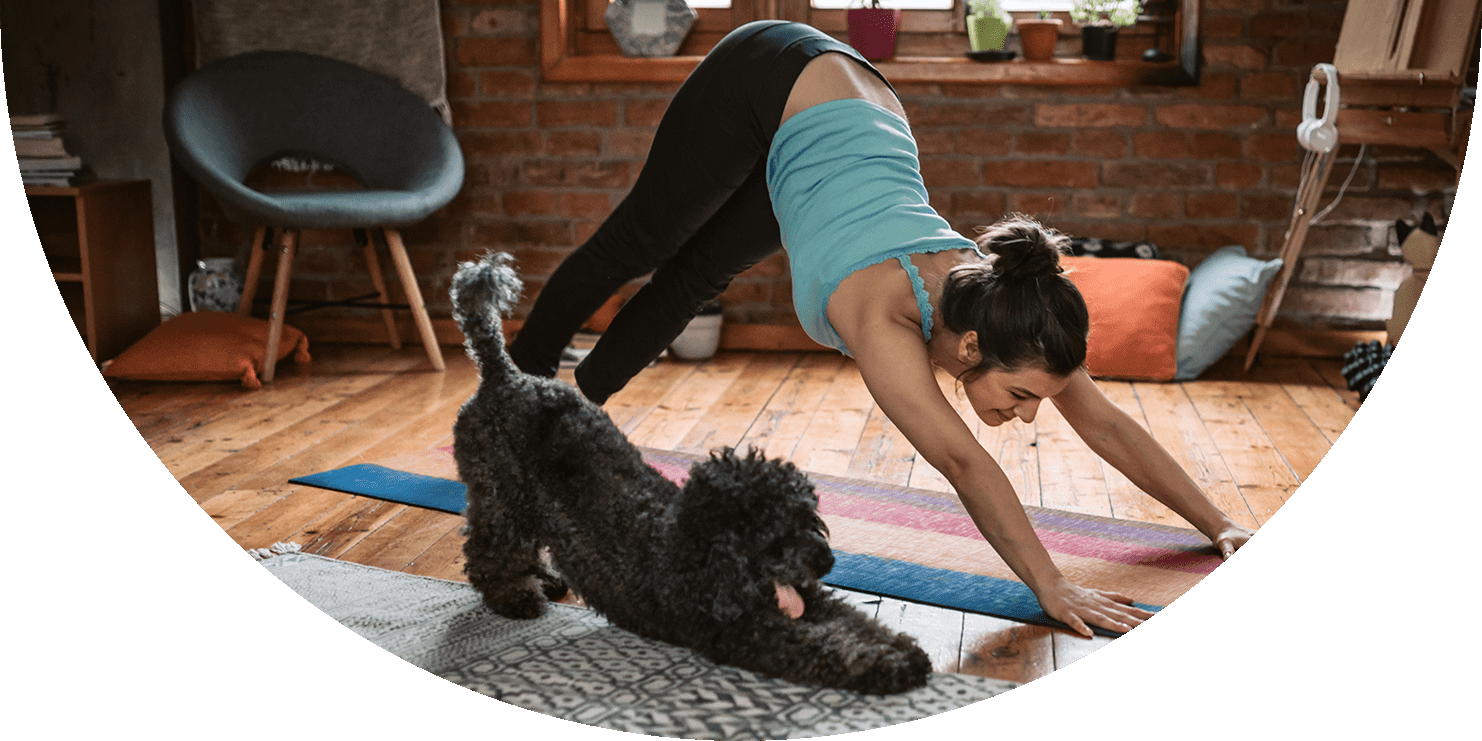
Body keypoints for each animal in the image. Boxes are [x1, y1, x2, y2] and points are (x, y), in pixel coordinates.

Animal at [447, 253, 924, 693]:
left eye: (810, 519)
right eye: (775, 537)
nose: (827, 560)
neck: (698, 552)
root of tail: (503, 375)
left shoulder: (810, 599)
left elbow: (855, 622)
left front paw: (900, 646)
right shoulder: (747, 632)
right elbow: (825, 648)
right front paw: (887, 665)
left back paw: (544, 579)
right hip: (500, 495)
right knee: (488, 553)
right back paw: (516, 596)